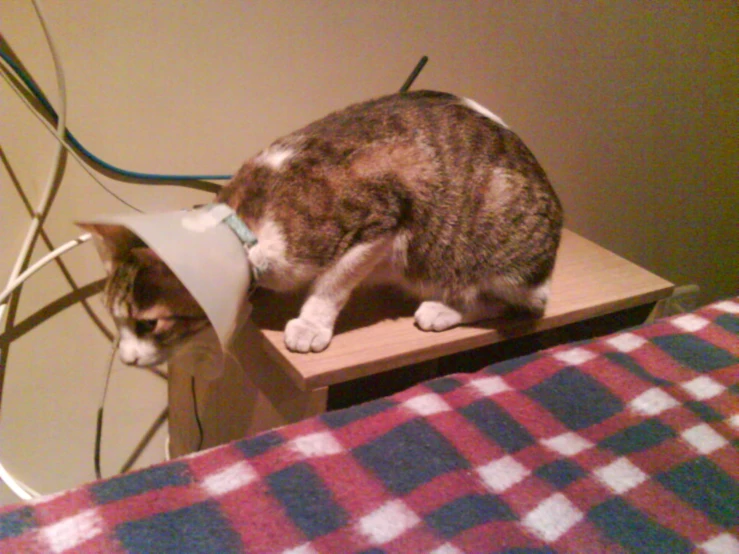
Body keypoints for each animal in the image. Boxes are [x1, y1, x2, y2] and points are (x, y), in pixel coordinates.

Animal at [84, 89, 564, 362]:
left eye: (148, 325)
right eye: (115, 323)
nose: (126, 358)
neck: (245, 226)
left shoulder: (380, 220)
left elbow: (333, 282)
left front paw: (310, 324)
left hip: (493, 237)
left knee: (523, 303)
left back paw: (444, 308)